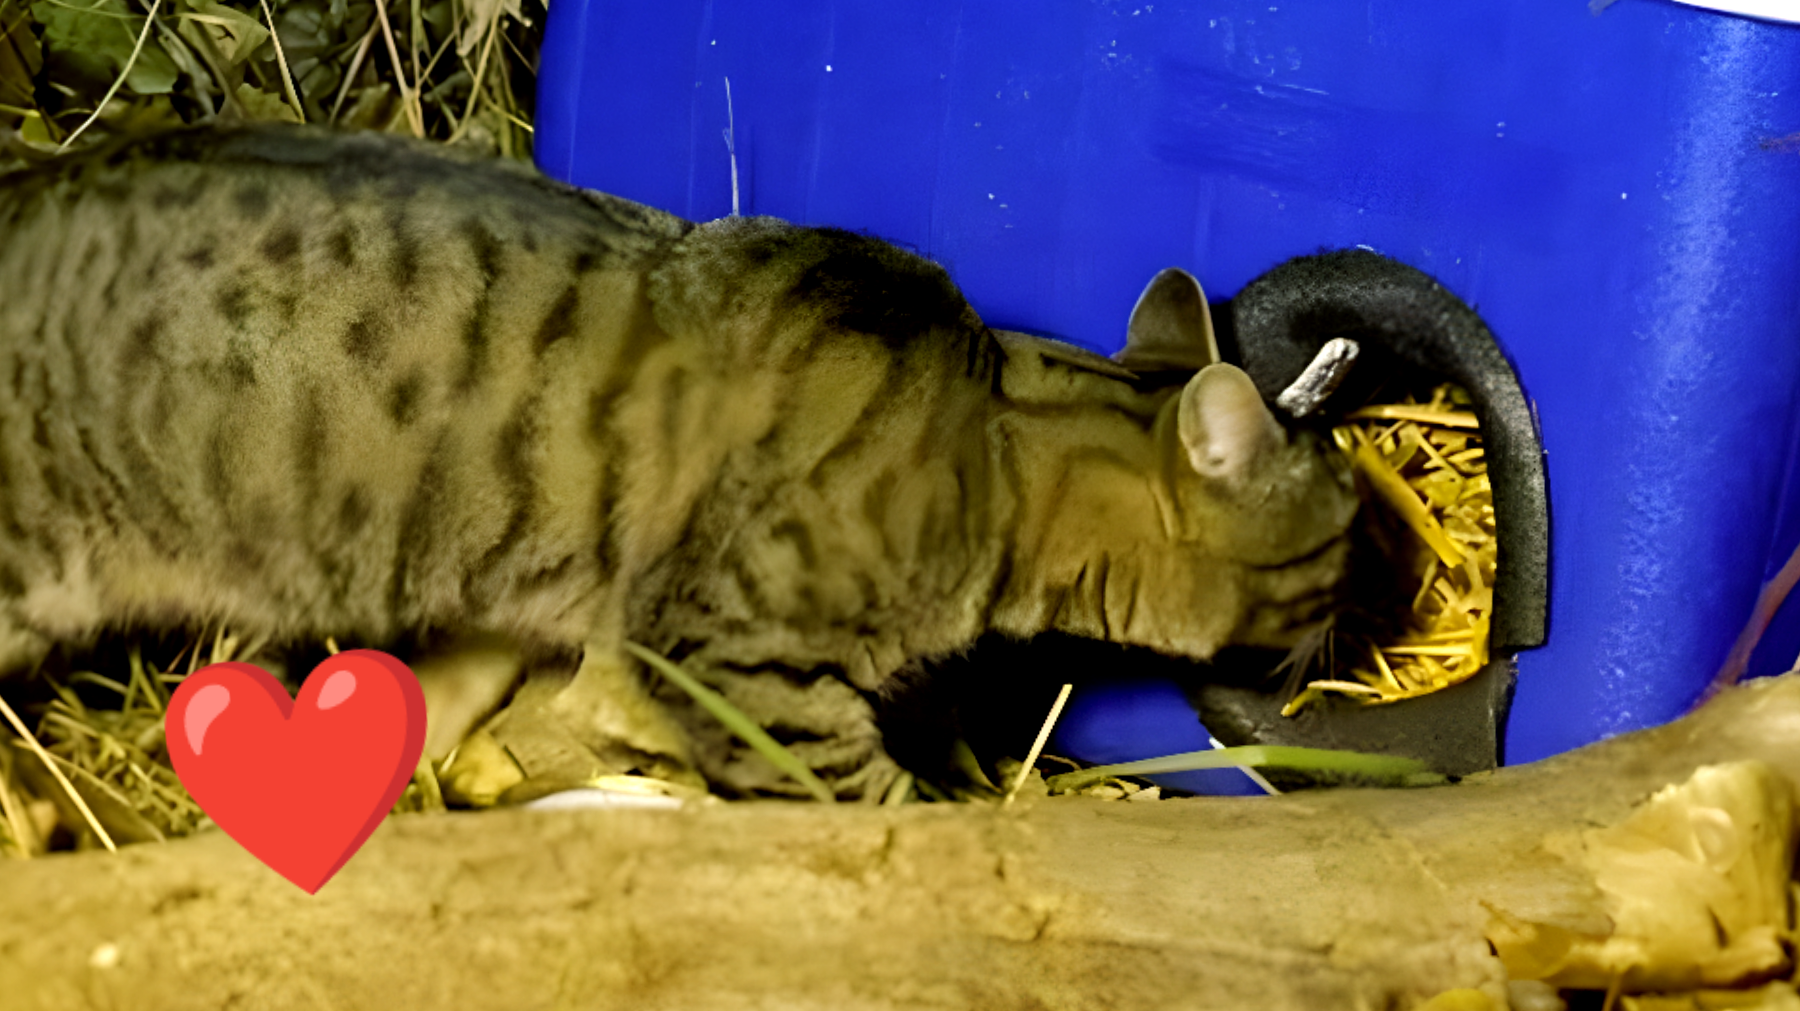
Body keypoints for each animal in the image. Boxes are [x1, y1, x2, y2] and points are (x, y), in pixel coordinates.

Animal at [0, 125, 1353, 798]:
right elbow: (866, 803)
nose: (1352, 622)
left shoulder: (527, 598)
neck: (995, 443)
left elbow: (458, 682)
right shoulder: (744, 667)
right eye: (1349, 531)